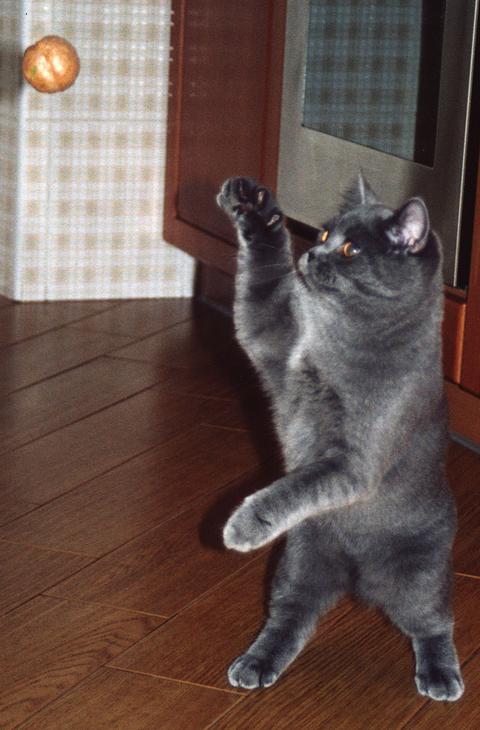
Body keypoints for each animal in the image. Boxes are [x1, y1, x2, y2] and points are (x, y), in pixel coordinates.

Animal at [218, 172, 464, 700]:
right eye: (327, 233)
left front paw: (243, 525)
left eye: (351, 250)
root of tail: (357, 576)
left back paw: (440, 676)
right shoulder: (274, 337)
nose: (313, 253)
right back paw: (255, 664)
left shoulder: (355, 462)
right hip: (300, 559)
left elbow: (295, 486)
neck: (337, 337)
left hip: (420, 574)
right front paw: (253, 204)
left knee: (433, 622)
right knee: (290, 615)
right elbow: (262, 286)